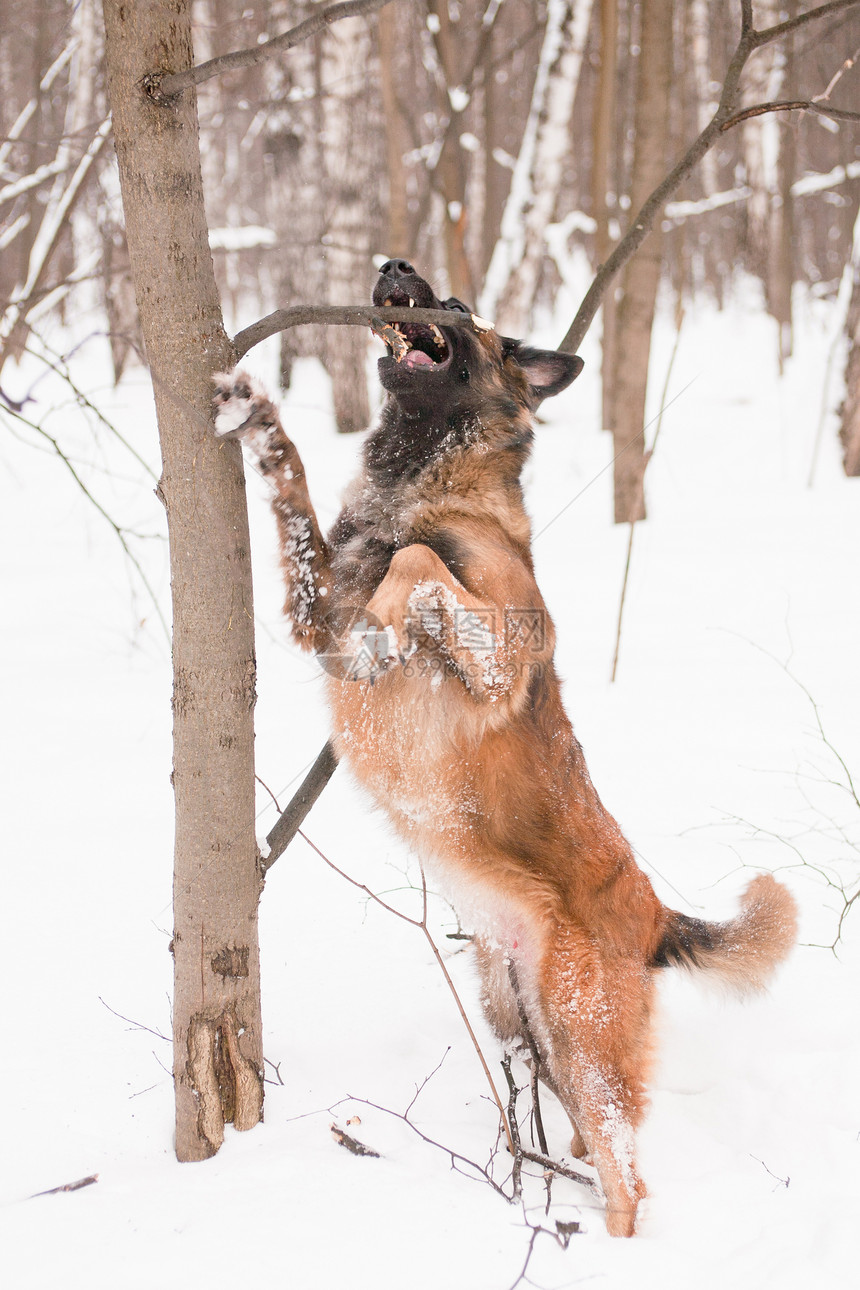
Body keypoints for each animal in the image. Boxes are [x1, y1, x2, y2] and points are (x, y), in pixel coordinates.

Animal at [215, 256, 799, 1233]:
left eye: (458, 309)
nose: (394, 265)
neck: (428, 479)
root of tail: (653, 915)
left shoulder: (495, 651)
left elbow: (415, 569)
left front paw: (385, 638)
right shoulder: (316, 614)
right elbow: (298, 496)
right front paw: (256, 418)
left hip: (584, 1044)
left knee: (631, 1182)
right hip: (527, 1030)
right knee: (591, 1151)